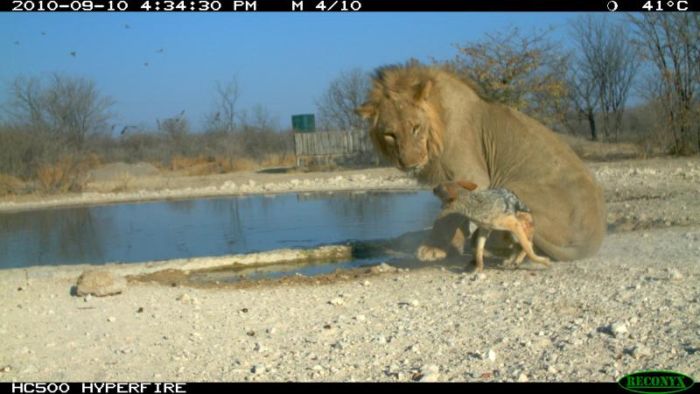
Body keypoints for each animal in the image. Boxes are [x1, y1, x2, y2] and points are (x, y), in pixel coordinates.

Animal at [356, 63, 608, 262]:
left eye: (415, 127)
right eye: (390, 135)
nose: (410, 163)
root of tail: (593, 240)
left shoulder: (472, 175)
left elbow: (449, 213)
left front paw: (433, 249)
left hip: (513, 189)